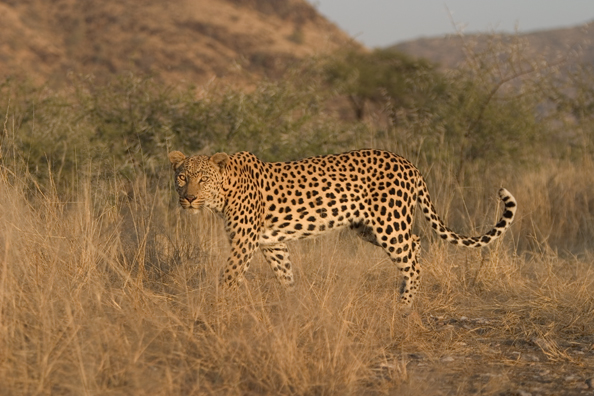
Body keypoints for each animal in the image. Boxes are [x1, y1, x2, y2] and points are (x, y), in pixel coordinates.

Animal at [166, 148, 512, 306]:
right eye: (182, 177)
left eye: (203, 178)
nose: (189, 198)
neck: (224, 191)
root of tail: (408, 163)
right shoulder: (272, 242)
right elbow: (285, 273)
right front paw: (295, 305)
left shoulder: (244, 242)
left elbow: (228, 276)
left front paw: (217, 308)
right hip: (369, 227)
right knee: (415, 244)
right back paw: (402, 294)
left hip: (389, 224)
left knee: (412, 259)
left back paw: (404, 306)